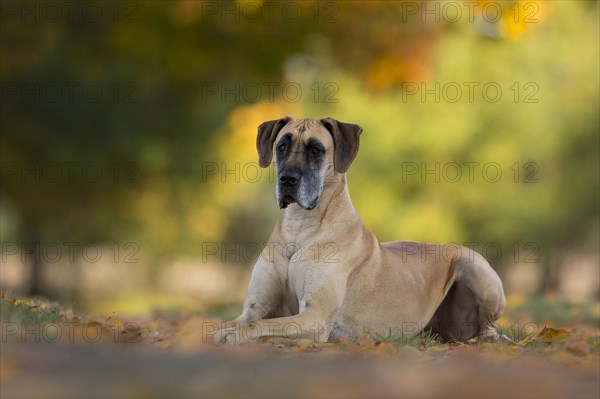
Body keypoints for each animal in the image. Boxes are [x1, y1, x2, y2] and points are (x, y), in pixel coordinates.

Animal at [213, 117, 504, 346]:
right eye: (281, 146)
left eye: (316, 149)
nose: (287, 178)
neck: (300, 228)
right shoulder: (255, 308)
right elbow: (230, 323)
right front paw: (218, 331)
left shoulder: (315, 317)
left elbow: (258, 326)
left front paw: (235, 336)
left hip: (475, 266)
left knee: (489, 329)